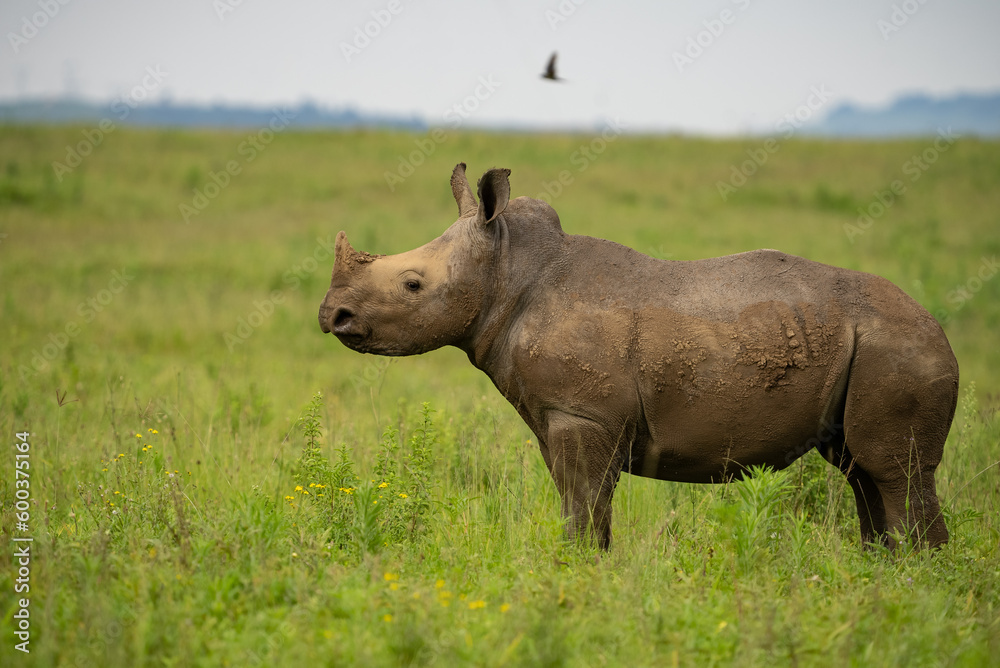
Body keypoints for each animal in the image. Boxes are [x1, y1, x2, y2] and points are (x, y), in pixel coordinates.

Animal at [319, 163, 958, 550]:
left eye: (412, 286)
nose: (332, 316)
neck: (506, 270)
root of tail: (938, 326)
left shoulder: (582, 414)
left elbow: (583, 509)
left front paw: (578, 579)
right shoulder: (561, 417)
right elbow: (581, 506)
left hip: (899, 348)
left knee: (894, 471)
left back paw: (920, 585)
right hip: (875, 348)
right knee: (861, 472)